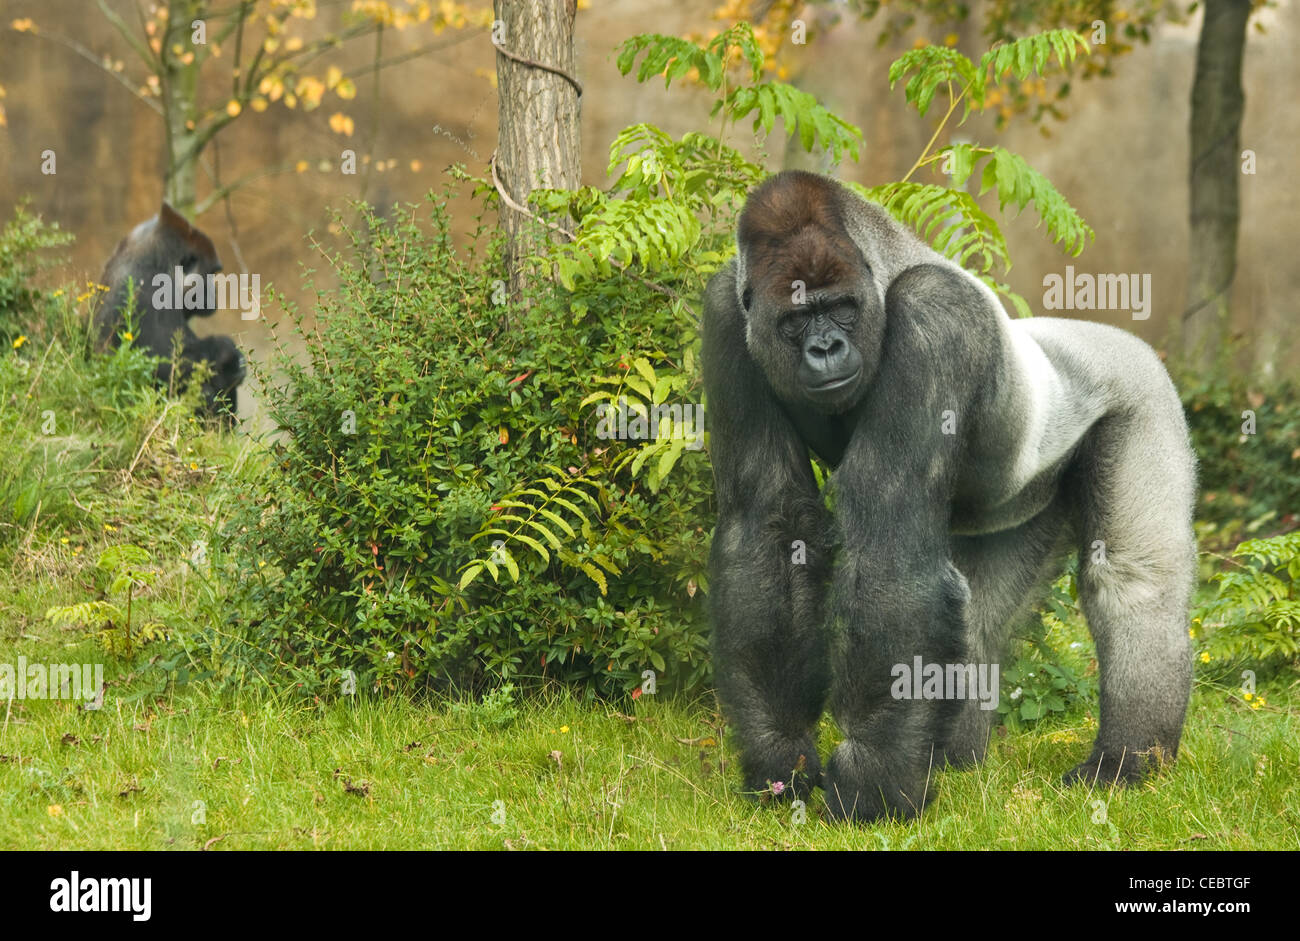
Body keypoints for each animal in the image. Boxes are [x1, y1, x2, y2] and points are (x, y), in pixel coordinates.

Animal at [707, 171, 1190, 821]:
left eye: (840, 309)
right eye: (796, 319)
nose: (825, 349)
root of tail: (1123, 340)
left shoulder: (935, 315)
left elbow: (888, 523)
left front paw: (871, 786)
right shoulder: (725, 314)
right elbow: (770, 517)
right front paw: (781, 757)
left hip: (1143, 391)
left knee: (1134, 581)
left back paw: (1127, 763)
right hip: (1022, 500)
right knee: (980, 613)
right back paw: (955, 758)